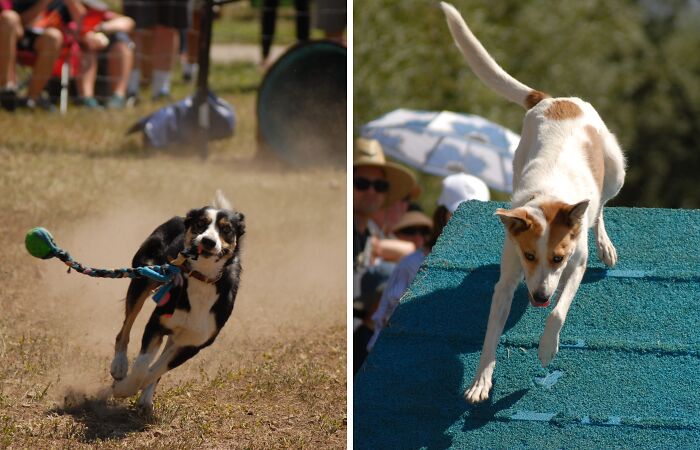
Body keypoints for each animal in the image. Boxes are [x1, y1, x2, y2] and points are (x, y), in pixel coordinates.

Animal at [107, 190, 243, 408]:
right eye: (200, 224)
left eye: (226, 229)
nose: (208, 241)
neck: (202, 279)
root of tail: (178, 218)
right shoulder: (156, 324)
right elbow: (142, 366)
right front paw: (123, 388)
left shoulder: (192, 344)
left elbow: (155, 370)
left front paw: (133, 391)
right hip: (143, 277)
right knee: (125, 328)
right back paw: (119, 366)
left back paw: (145, 397)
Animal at [440, 3, 628, 404]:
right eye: (528, 255)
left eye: (557, 258)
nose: (539, 295)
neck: (548, 199)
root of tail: (552, 99)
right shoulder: (508, 278)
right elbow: (490, 336)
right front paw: (480, 382)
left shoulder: (575, 264)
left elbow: (558, 313)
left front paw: (546, 349)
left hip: (616, 167)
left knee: (602, 206)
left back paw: (605, 243)